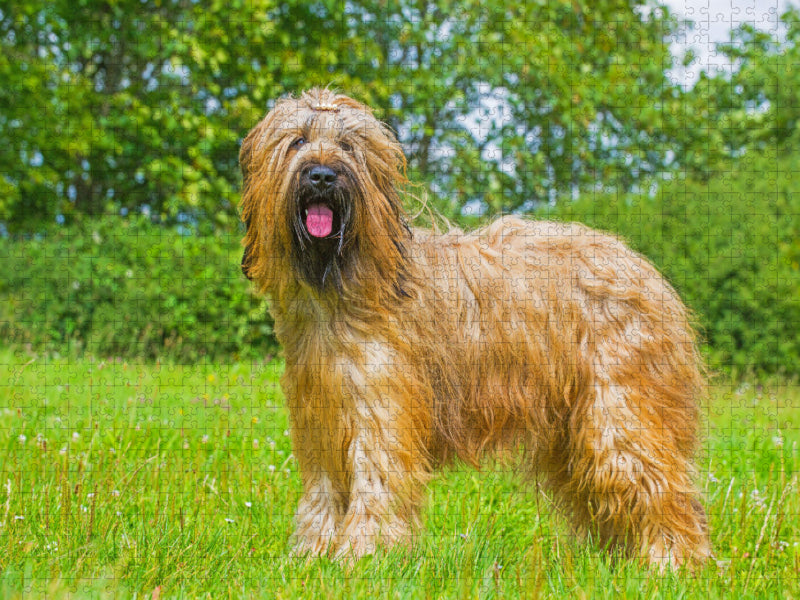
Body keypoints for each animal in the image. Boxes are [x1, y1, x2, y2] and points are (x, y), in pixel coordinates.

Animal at [239, 88, 712, 568]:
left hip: (621, 410)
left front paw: (362, 554)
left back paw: (671, 562)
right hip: (573, 430)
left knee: (662, 487)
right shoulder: (318, 412)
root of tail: (646, 270)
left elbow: (377, 478)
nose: (322, 176)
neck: (339, 285)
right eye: (298, 142)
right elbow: (322, 489)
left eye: (348, 146)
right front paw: (310, 554)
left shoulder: (382, 406)